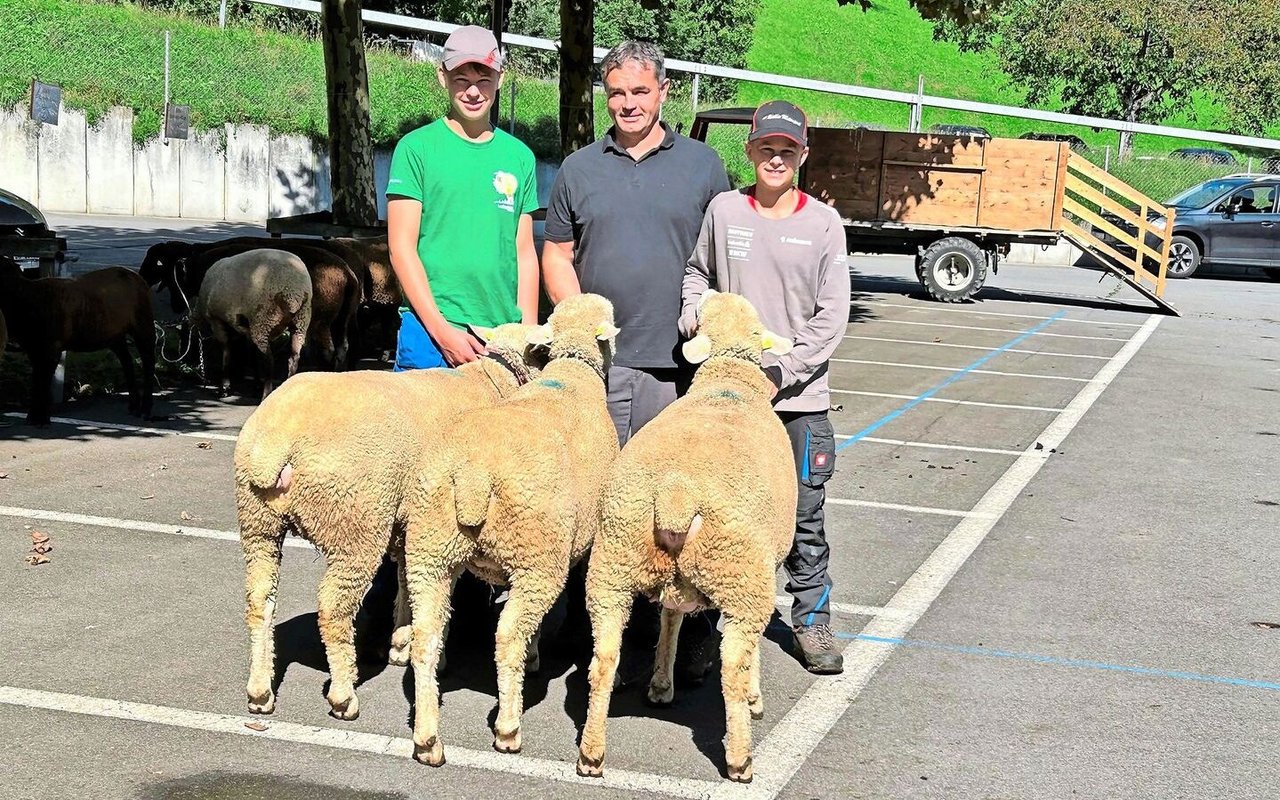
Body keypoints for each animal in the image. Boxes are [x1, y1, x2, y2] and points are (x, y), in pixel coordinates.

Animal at [0, 258, 154, 427]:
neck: (24, 302)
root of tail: (137, 276)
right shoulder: (34, 348)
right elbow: (36, 381)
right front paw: (32, 417)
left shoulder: (52, 348)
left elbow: (43, 381)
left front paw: (41, 419)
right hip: (115, 335)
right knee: (127, 361)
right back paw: (133, 405)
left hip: (143, 322)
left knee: (148, 361)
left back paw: (146, 408)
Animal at [235, 321, 540, 721]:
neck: (493, 382)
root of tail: (277, 441)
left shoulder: (410, 524)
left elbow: (405, 582)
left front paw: (400, 641)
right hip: (356, 524)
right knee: (333, 609)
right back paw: (344, 696)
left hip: (258, 522)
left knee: (259, 600)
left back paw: (259, 691)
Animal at [399, 290, 619, 762]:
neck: (572, 372)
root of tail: (474, 476)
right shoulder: (574, 547)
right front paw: (536, 656)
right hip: (536, 558)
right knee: (508, 638)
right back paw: (508, 727)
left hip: (431, 549)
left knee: (426, 637)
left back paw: (427, 738)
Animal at [576, 290, 793, 783]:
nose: (707, 292)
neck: (728, 384)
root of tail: (678, 494)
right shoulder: (767, 568)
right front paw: (755, 699)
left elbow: (671, 618)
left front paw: (660, 683)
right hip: (741, 577)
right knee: (733, 667)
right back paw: (741, 757)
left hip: (612, 567)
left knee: (603, 660)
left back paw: (591, 753)